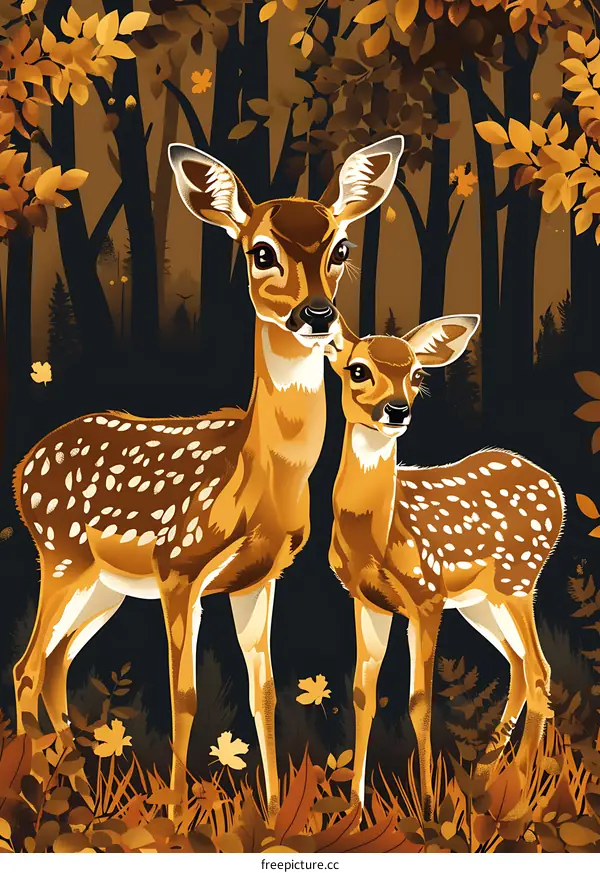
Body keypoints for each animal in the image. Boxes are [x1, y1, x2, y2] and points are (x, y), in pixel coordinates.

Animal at [12, 135, 405, 821]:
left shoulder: (261, 577)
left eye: (341, 248)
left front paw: (274, 812)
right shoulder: (179, 566)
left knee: (57, 663)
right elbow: (185, 695)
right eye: (261, 251)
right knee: (29, 667)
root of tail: (20, 468)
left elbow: (264, 692)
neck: (257, 481)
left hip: (104, 584)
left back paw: (79, 795)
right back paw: (43, 796)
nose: (318, 314)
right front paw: (174, 816)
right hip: (61, 556)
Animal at [325, 314, 565, 819]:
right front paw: (354, 812)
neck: (376, 536)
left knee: (538, 668)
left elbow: (419, 700)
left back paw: (516, 791)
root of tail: (552, 485)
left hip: (519, 577)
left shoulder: (426, 595)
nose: (396, 410)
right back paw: (484, 780)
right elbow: (362, 695)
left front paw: (428, 809)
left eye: (417, 375)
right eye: (357, 370)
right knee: (517, 664)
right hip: (480, 600)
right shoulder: (366, 600)